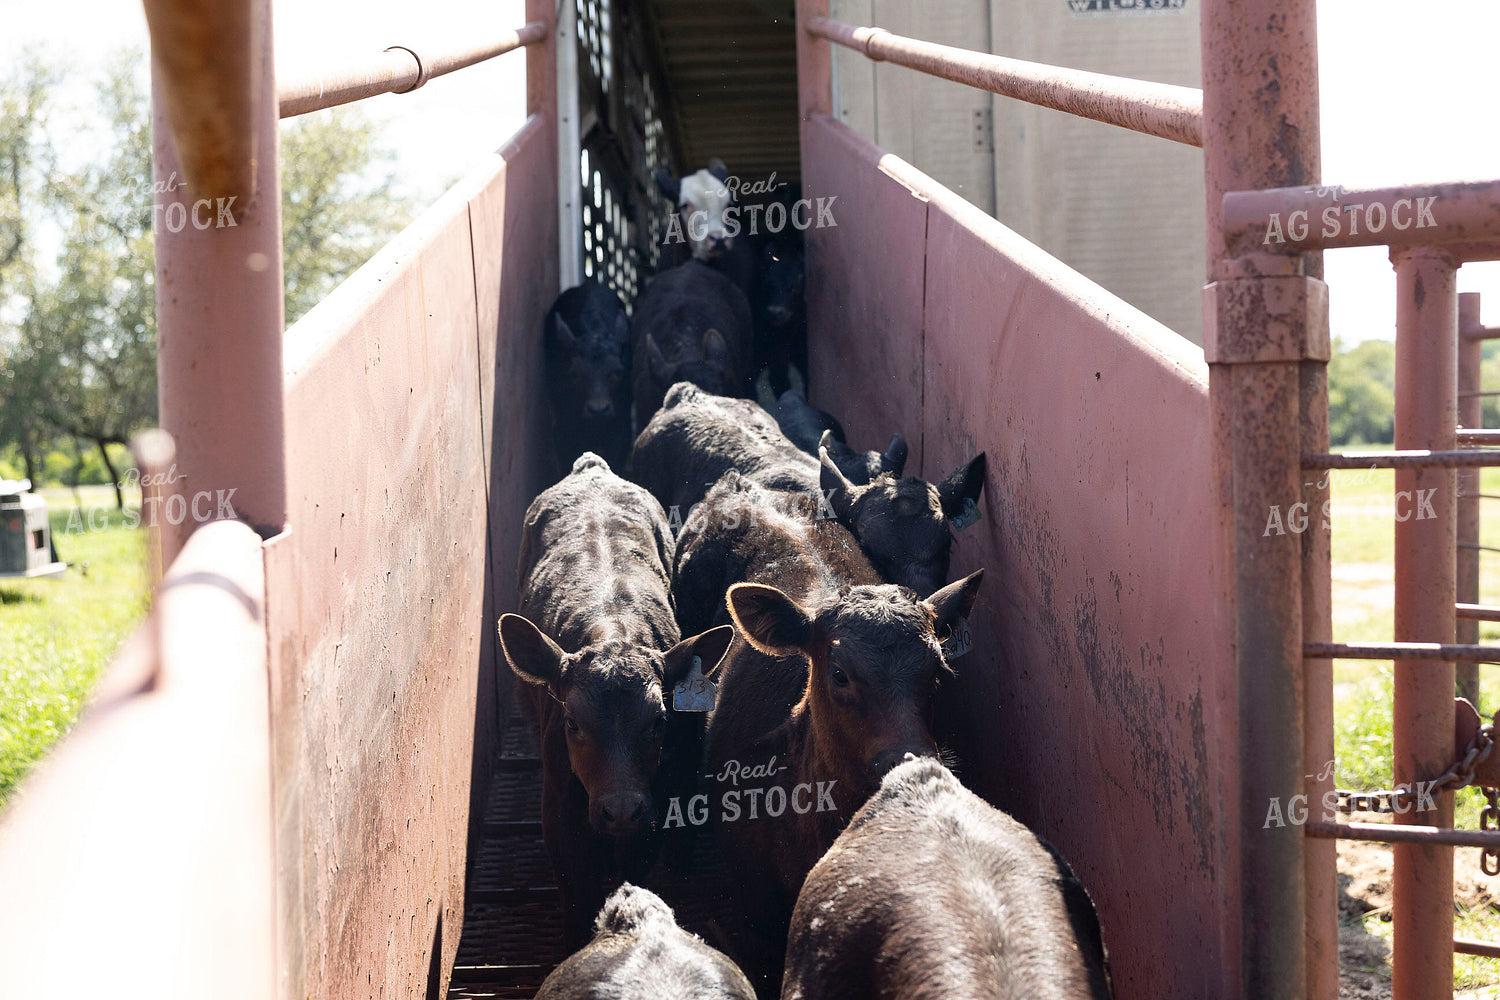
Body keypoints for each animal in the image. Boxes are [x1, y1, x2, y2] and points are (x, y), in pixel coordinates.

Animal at [497, 453, 735, 948]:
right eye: (572, 723)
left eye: (659, 722)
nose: (620, 808)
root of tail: (592, 468)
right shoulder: (559, 809)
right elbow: (577, 894)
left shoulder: (655, 805)